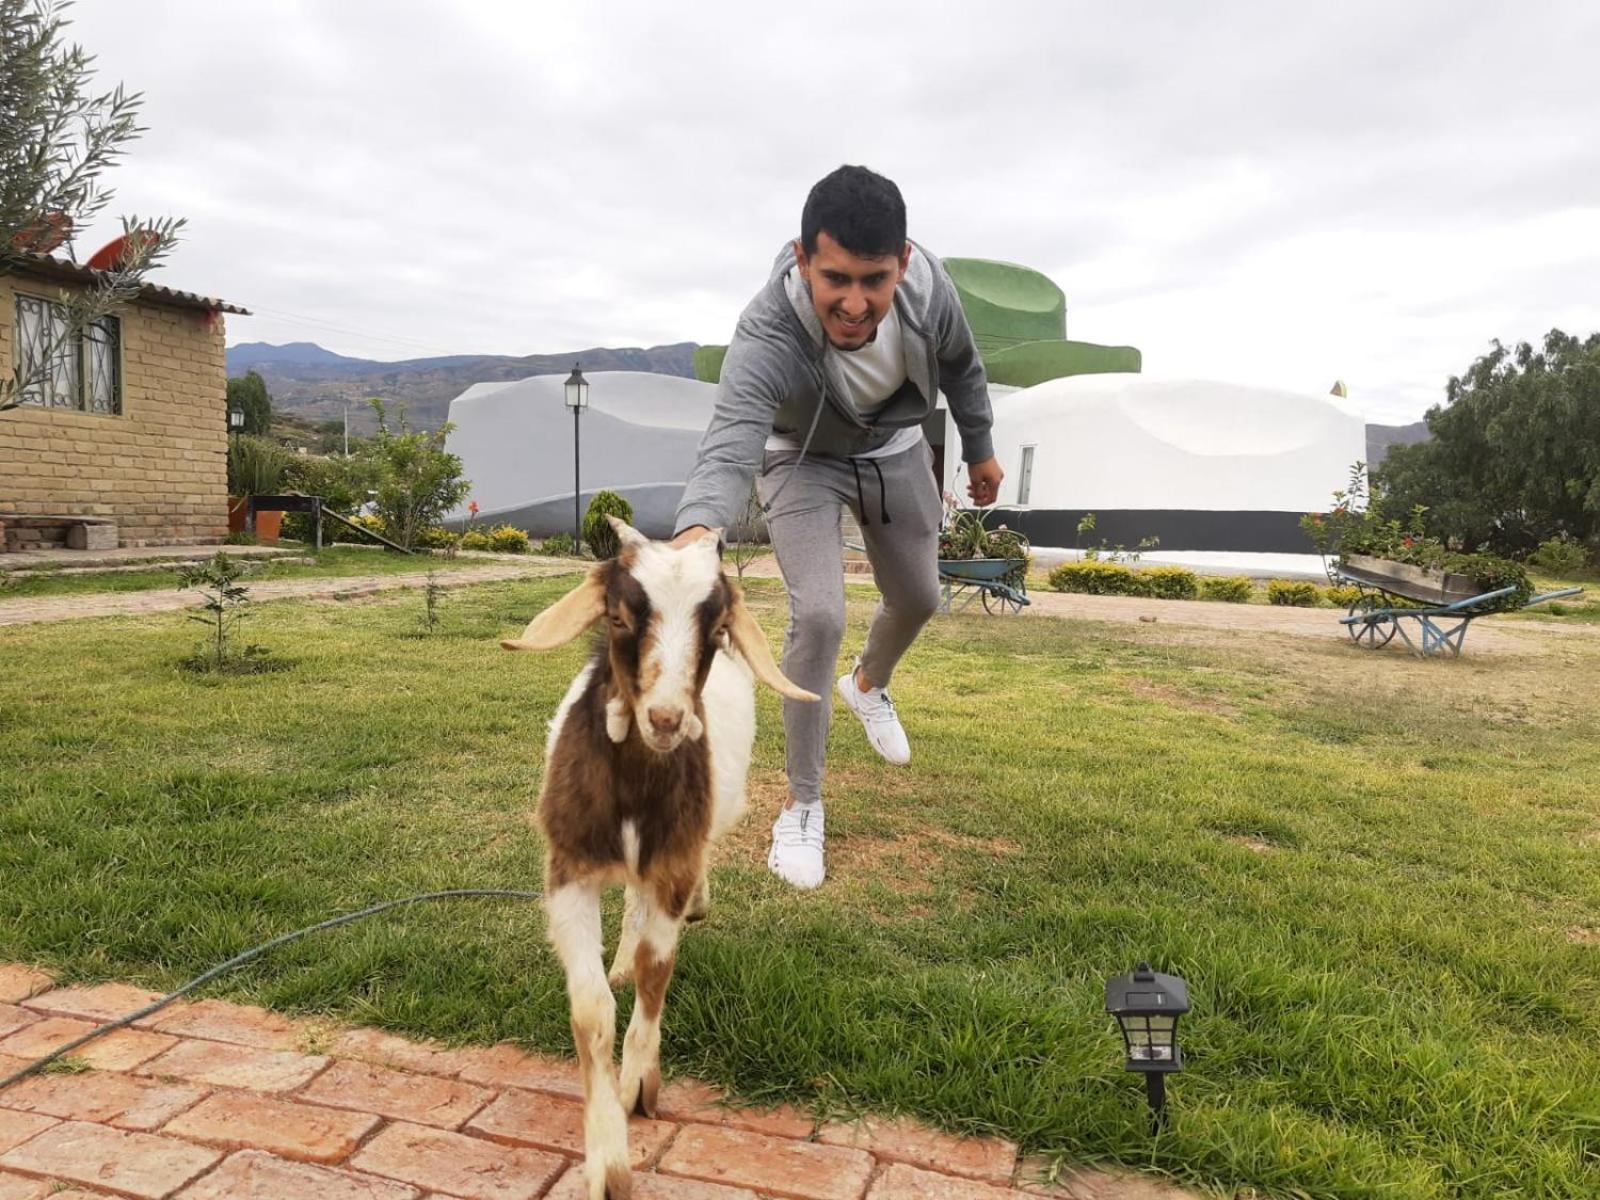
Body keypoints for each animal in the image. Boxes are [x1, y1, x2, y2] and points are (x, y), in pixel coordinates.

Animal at [505, 518, 819, 1200]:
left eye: (717, 628)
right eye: (619, 617)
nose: (668, 719)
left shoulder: (673, 862)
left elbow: (658, 973)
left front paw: (637, 1085)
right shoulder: (569, 871)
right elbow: (592, 1010)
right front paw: (607, 1162)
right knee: (629, 903)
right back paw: (619, 958)